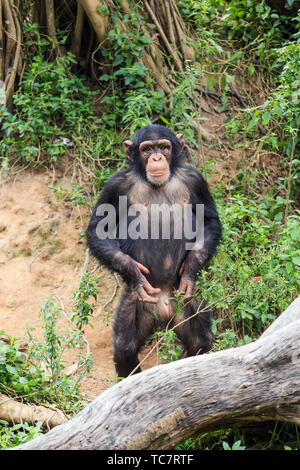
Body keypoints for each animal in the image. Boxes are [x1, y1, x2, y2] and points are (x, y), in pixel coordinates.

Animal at [85, 125, 221, 378]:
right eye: (147, 149)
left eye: (164, 147)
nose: (157, 157)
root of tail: (164, 310)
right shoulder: (115, 184)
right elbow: (98, 228)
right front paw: (133, 271)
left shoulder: (196, 179)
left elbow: (209, 220)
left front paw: (190, 268)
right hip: (138, 303)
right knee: (125, 346)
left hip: (186, 304)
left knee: (200, 340)